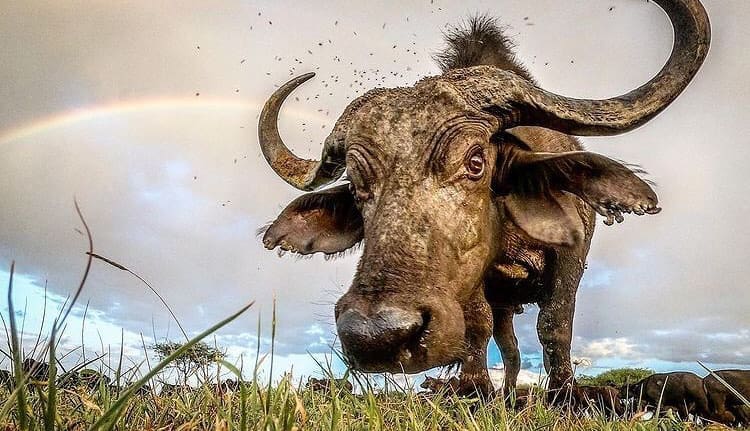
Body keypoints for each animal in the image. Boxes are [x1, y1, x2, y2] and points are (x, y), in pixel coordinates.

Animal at [258, 0, 710, 397]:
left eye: (476, 161)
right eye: (355, 184)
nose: (376, 335)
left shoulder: (573, 256)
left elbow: (555, 324)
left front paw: (566, 393)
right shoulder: (478, 284)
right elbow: (478, 324)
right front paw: (474, 387)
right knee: (509, 347)